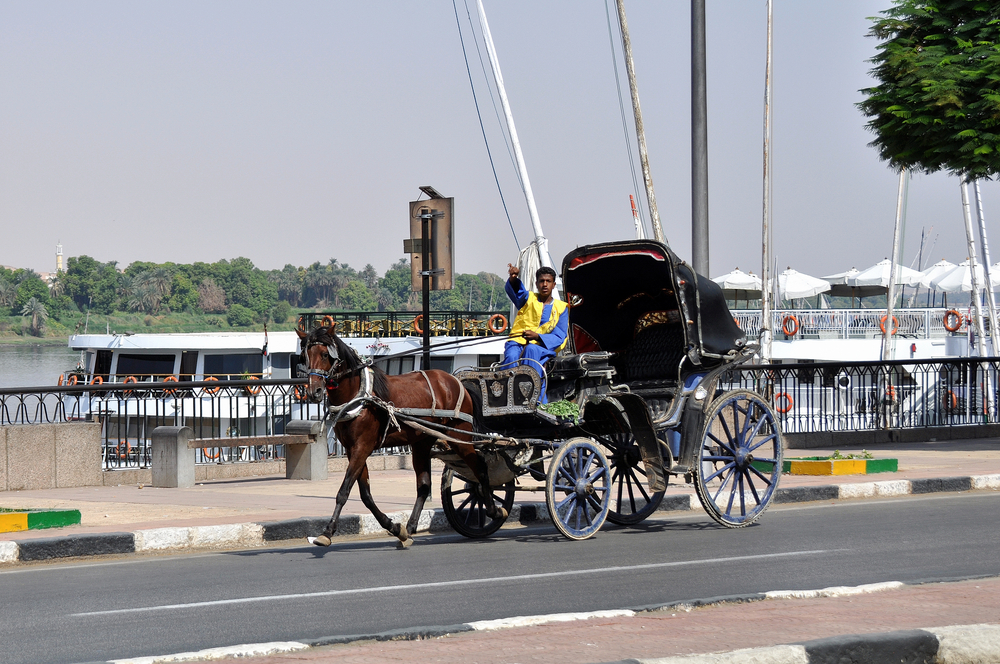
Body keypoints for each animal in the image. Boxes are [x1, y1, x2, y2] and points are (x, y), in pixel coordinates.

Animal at [294, 324, 500, 548]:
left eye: (325, 354)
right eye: (304, 357)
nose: (314, 391)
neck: (359, 396)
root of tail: (456, 382)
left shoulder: (362, 447)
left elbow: (344, 491)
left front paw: (327, 531)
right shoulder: (352, 450)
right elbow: (365, 495)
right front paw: (394, 527)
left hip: (459, 436)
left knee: (480, 467)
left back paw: (493, 509)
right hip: (422, 443)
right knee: (424, 485)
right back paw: (409, 528)